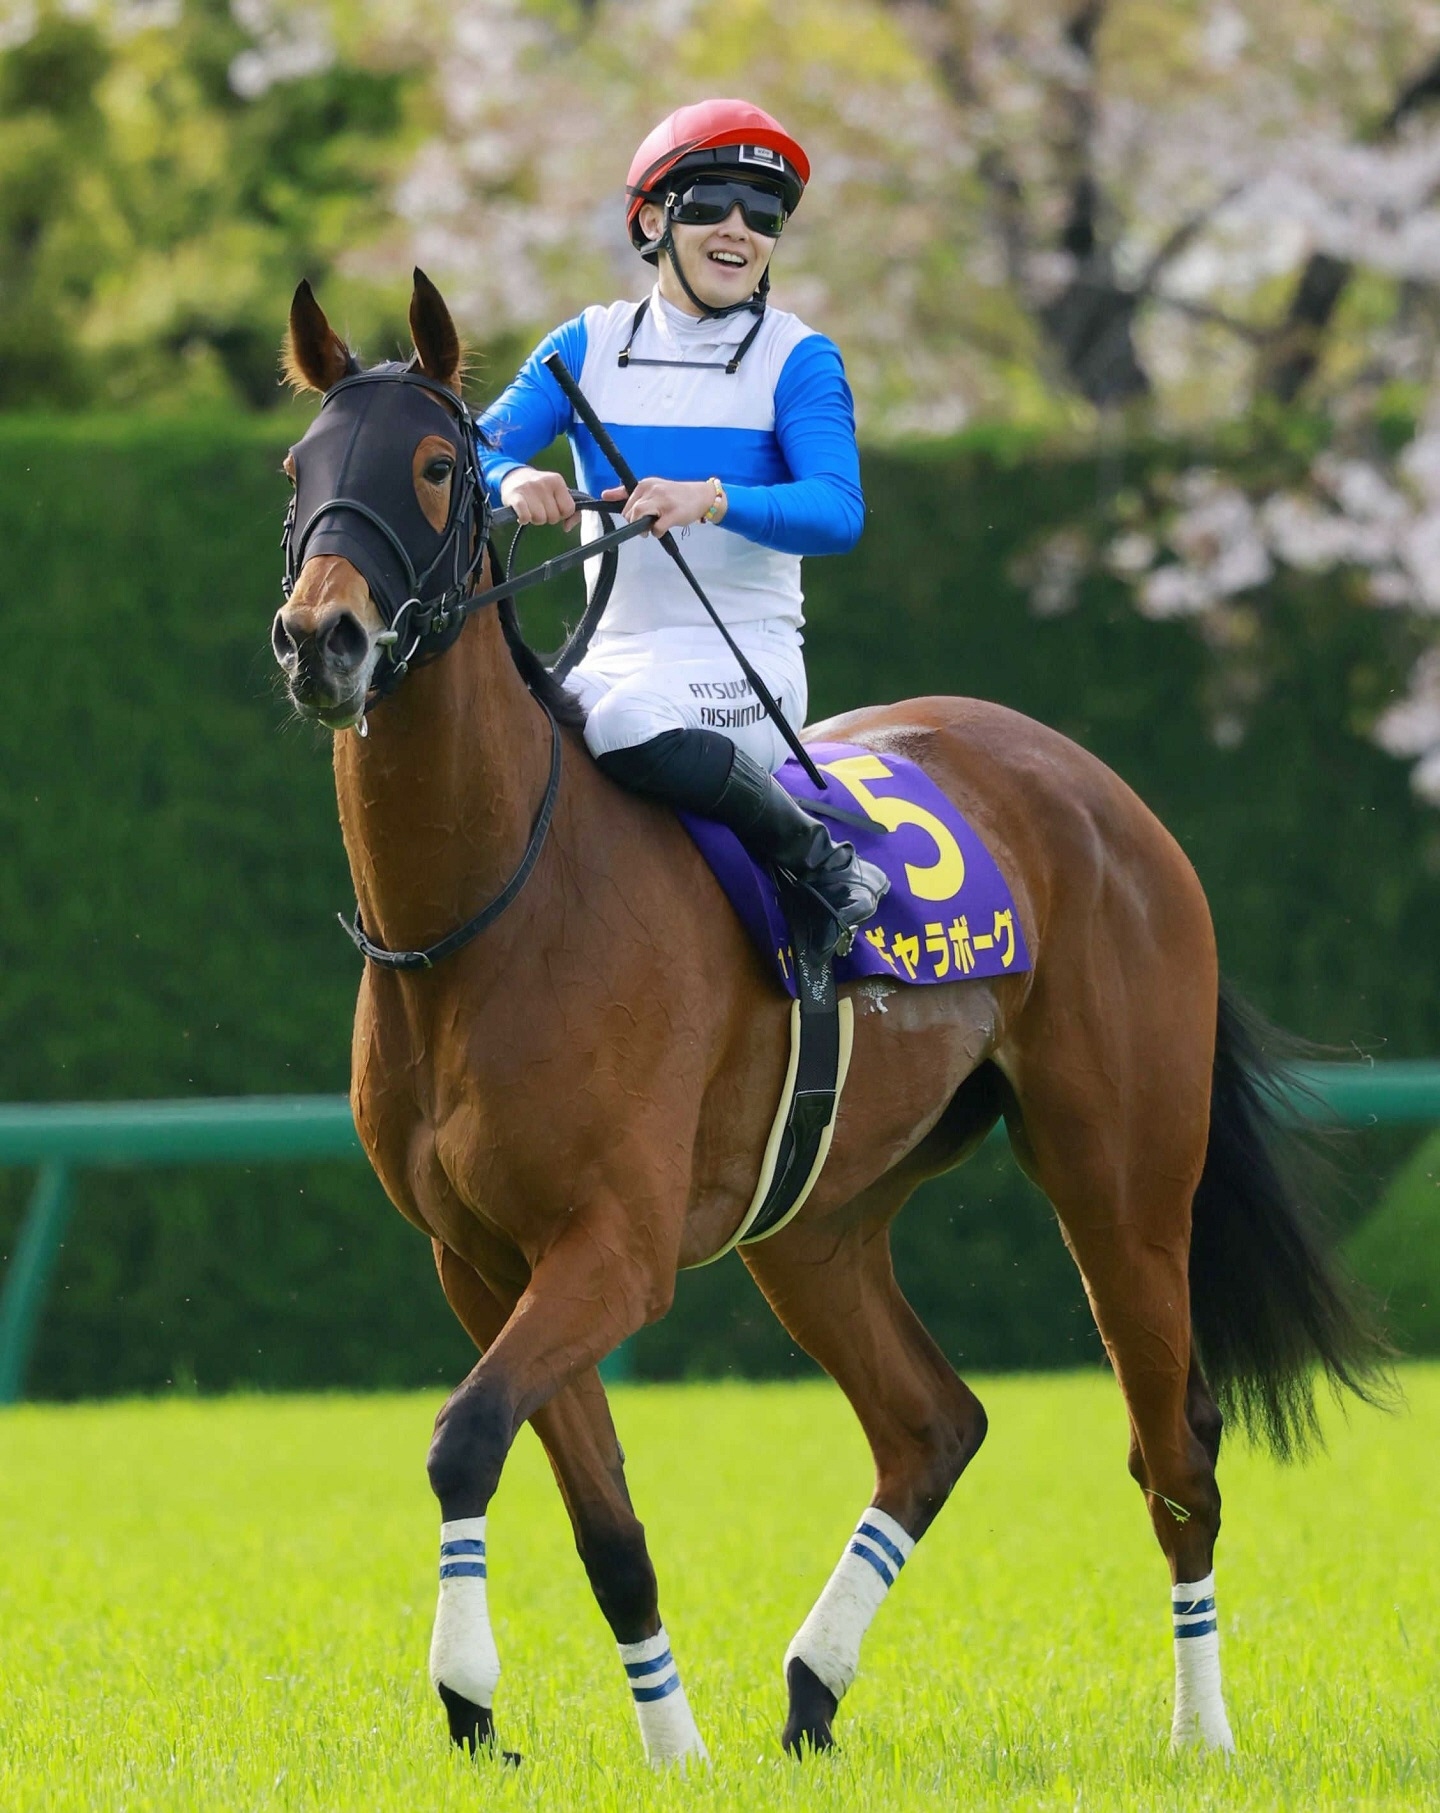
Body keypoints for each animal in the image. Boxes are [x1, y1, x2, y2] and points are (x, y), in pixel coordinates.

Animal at [269, 269, 1387, 1767]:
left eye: (439, 466)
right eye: (298, 469)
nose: (322, 638)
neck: (491, 915)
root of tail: (1103, 792)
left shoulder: (614, 1249)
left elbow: (464, 1434)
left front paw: (471, 1692)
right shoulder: (484, 1261)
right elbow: (600, 1517)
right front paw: (664, 1750)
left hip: (1123, 1184)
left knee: (1178, 1449)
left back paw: (1199, 1733)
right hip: (816, 1222)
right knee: (933, 1423)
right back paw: (810, 1684)